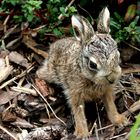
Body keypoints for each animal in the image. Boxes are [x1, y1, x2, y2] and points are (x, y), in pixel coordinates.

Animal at [36, 7, 128, 137]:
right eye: (93, 64)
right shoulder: (75, 93)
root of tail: (53, 47)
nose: (112, 78)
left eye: (118, 56)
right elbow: (78, 112)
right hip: (51, 73)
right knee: (39, 73)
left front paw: (120, 120)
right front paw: (82, 133)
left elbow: (111, 105)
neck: (89, 77)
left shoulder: (107, 91)